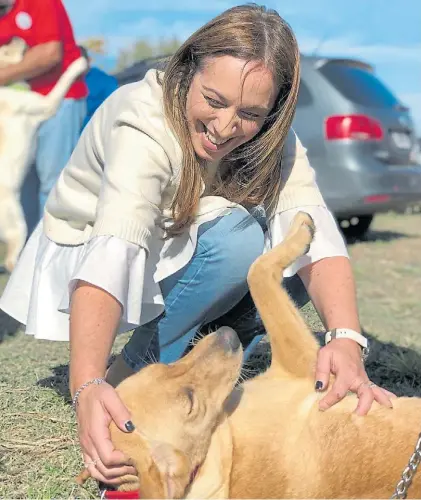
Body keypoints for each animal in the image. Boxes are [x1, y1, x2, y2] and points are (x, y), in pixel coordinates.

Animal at [76, 212, 420, 500]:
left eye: (162, 366)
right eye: (190, 402)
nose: (227, 334)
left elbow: (258, 270)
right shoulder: (302, 364)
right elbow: (258, 272)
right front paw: (301, 229)